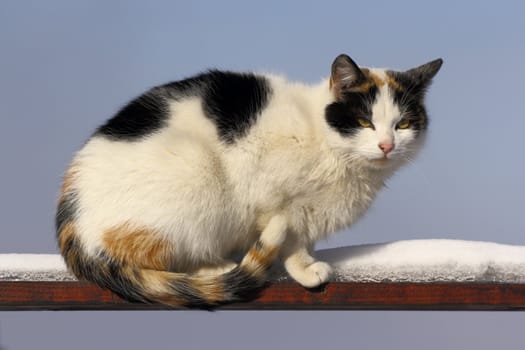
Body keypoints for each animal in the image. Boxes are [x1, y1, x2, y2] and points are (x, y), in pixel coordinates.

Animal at [55, 53, 442, 308]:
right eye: (364, 122)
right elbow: (292, 239)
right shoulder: (274, 197)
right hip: (196, 176)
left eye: (403, 124)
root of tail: (73, 224)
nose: (387, 145)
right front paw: (305, 268)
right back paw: (219, 268)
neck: (328, 144)